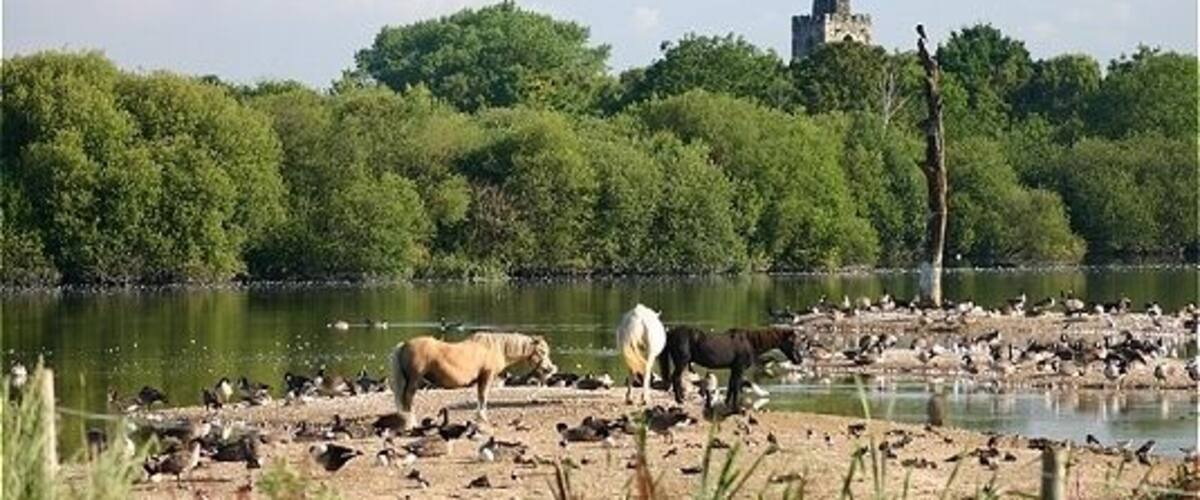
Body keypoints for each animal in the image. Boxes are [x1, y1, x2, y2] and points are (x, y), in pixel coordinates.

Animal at [388, 332, 557, 431]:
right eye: (541, 351)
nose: (550, 369)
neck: (494, 347)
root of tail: (403, 345)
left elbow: (480, 397)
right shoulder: (486, 376)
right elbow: (483, 397)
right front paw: (482, 419)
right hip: (414, 381)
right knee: (408, 399)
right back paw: (411, 422)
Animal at [660, 326, 806, 410]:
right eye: (793, 342)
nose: (799, 360)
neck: (750, 342)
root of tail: (671, 333)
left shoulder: (734, 368)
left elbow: (731, 386)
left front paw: (727, 404)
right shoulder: (739, 368)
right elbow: (736, 386)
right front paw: (736, 408)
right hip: (681, 362)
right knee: (675, 378)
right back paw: (680, 399)